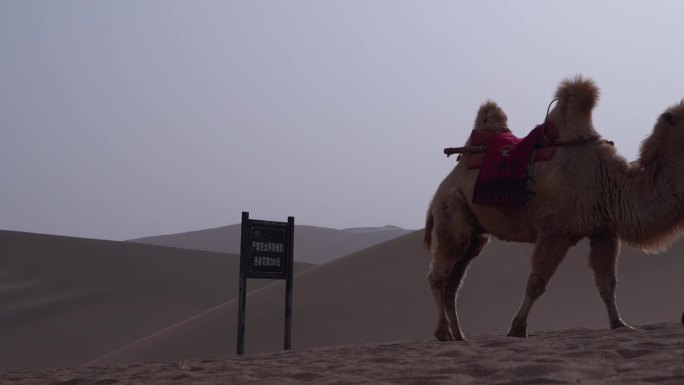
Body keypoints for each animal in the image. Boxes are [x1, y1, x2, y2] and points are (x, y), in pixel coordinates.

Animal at [424, 76, 680, 340]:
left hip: (475, 233)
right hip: (451, 208)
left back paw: (459, 335)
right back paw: (443, 332)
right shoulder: (555, 229)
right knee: (438, 276)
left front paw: (620, 324)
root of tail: (440, 189)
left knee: (453, 283)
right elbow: (537, 282)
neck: (605, 178)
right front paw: (517, 328)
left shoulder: (603, 231)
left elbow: (607, 283)